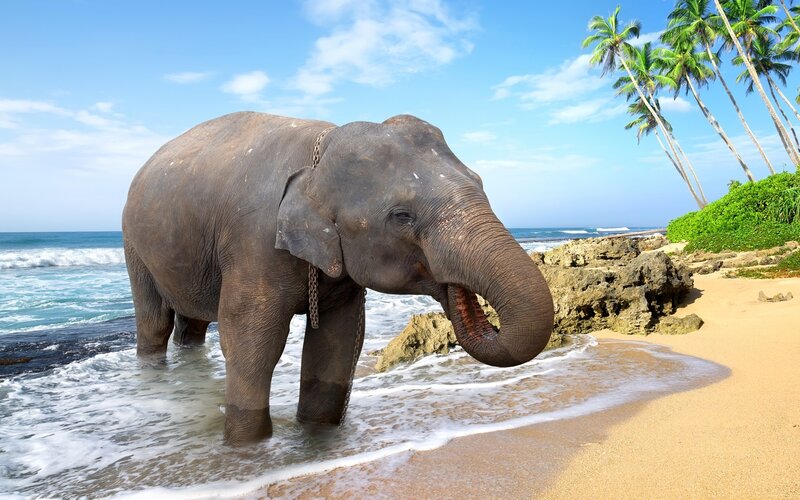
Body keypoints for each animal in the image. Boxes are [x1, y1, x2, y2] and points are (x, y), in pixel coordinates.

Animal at [122, 112, 554, 445]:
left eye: (480, 183)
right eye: (402, 216)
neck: (320, 154)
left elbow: (338, 342)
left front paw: (315, 436)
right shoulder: (254, 241)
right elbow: (251, 343)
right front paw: (246, 448)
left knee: (192, 324)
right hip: (133, 245)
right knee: (155, 321)